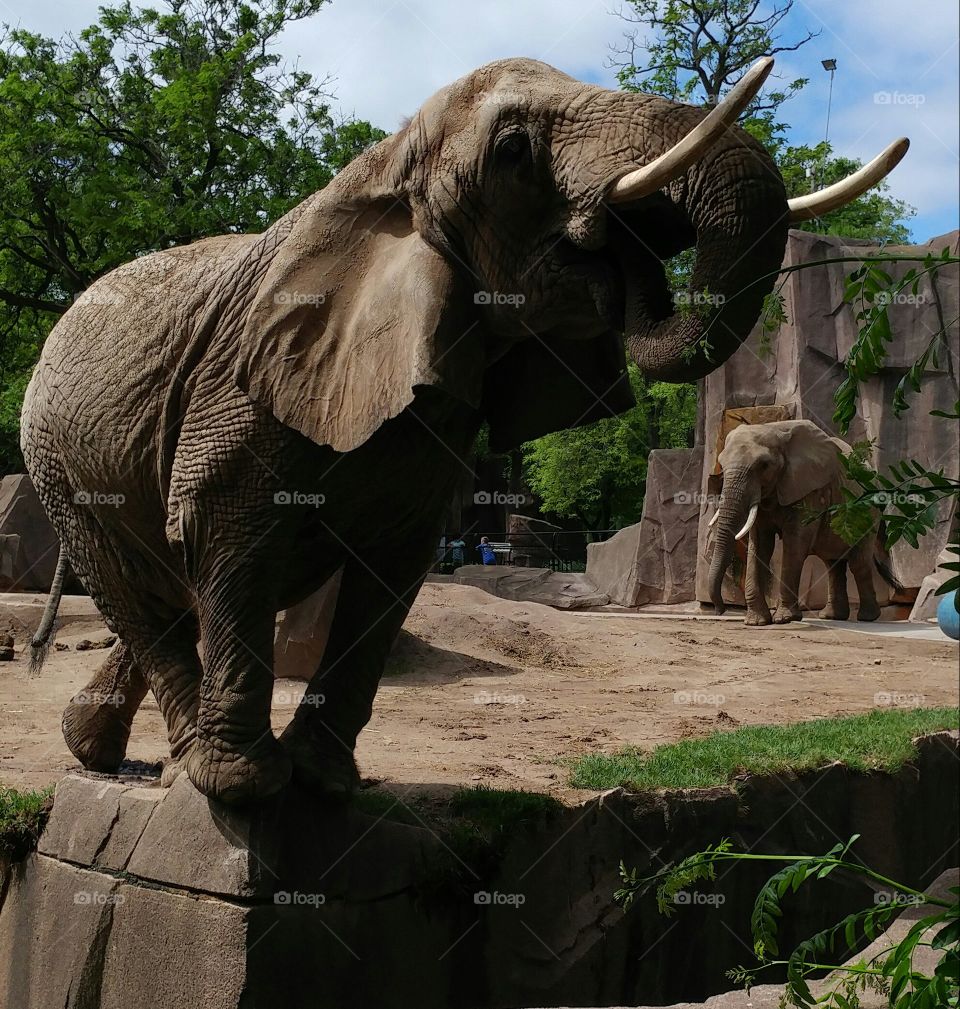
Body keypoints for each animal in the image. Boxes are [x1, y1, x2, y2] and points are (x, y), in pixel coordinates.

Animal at [707, 420, 901, 626]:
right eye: (721, 463)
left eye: (764, 465)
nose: (720, 610)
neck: (774, 428)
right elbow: (759, 546)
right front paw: (756, 622)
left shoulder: (809, 490)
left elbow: (795, 545)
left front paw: (784, 619)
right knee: (833, 564)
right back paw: (832, 616)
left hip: (869, 513)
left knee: (858, 562)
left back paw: (867, 617)